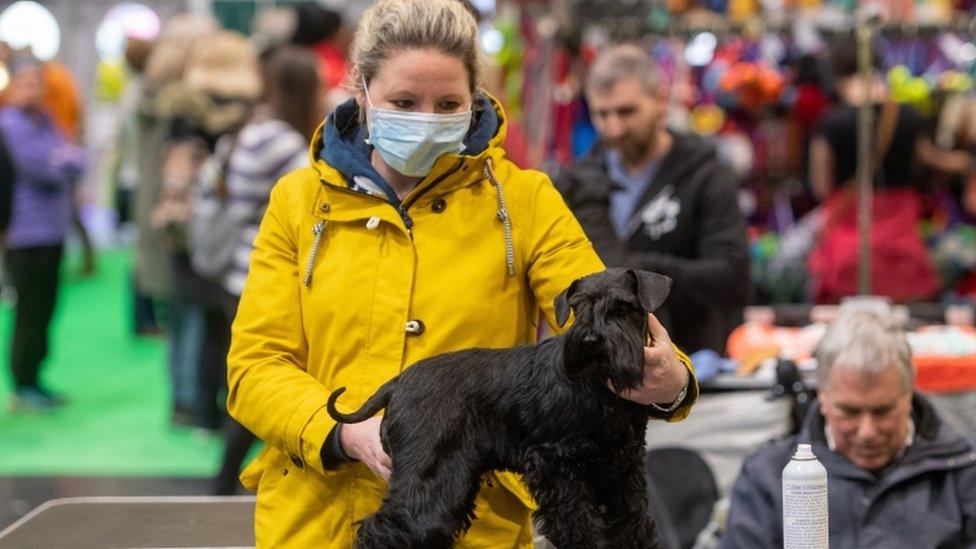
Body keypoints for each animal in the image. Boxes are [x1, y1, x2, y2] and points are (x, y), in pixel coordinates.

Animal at [324, 268, 676, 544]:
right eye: (578, 308)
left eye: (622, 307)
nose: (590, 341)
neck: (599, 387)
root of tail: (398, 382)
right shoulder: (554, 464)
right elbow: (578, 524)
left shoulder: (622, 467)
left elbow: (632, 522)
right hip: (430, 474)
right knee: (387, 527)